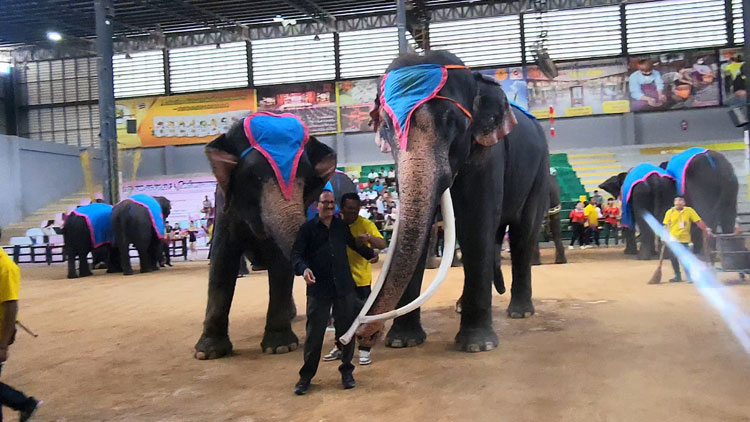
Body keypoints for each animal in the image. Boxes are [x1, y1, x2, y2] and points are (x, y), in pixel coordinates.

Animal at [194, 112, 337, 360]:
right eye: (255, 178)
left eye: (305, 180)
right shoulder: (225, 206)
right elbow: (222, 262)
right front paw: (207, 353)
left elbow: (280, 264)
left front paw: (280, 347)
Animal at [358, 51, 551, 352]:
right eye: (387, 126)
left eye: (451, 121)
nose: (364, 338)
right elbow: (421, 235)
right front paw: (402, 341)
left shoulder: (487, 154)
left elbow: (476, 226)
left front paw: (478, 346)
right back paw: (462, 306)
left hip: (540, 172)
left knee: (523, 234)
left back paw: (521, 312)